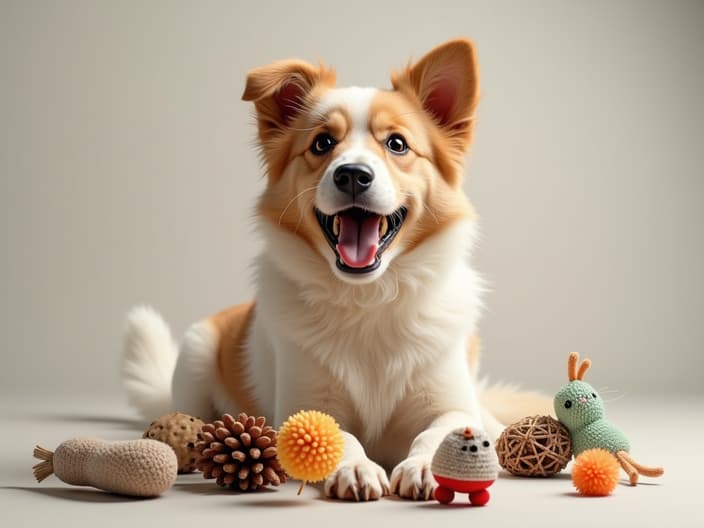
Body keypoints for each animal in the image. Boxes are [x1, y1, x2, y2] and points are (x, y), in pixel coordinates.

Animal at [124, 39, 548, 502]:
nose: (353, 175)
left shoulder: (450, 401)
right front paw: (357, 467)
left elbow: (441, 431)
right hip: (196, 356)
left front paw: (427, 465)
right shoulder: (301, 405)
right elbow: (336, 434)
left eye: (397, 144)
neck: (368, 299)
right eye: (322, 142)